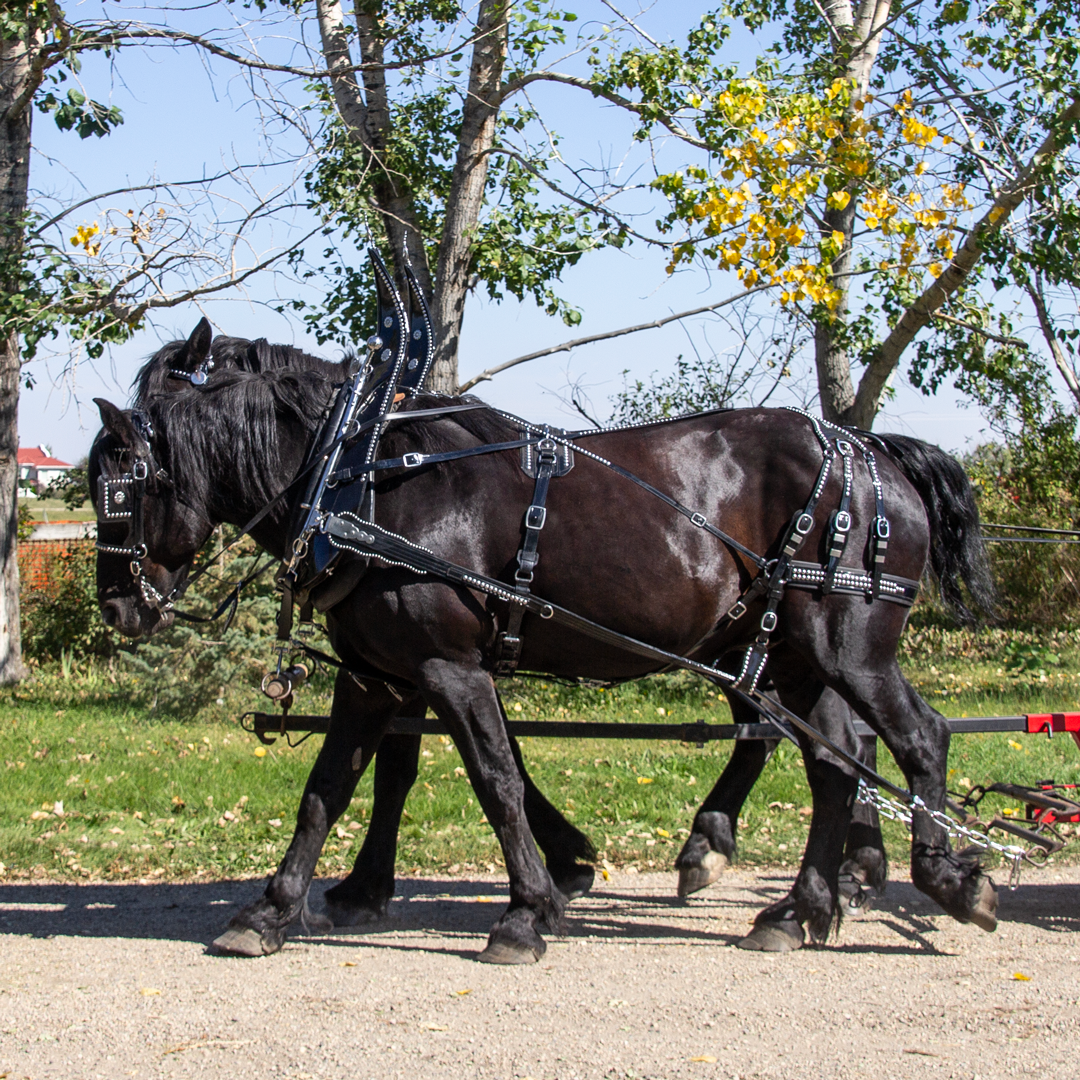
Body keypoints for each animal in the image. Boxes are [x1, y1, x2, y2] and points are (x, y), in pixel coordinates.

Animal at [95, 354, 993, 963]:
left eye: (120, 493)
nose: (115, 608)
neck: (359, 478)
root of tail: (869, 449)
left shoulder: (449, 667)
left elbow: (494, 780)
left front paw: (527, 911)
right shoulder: (374, 678)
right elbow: (327, 792)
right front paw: (272, 911)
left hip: (844, 648)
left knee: (916, 737)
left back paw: (943, 877)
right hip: (791, 659)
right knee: (834, 762)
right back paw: (798, 908)